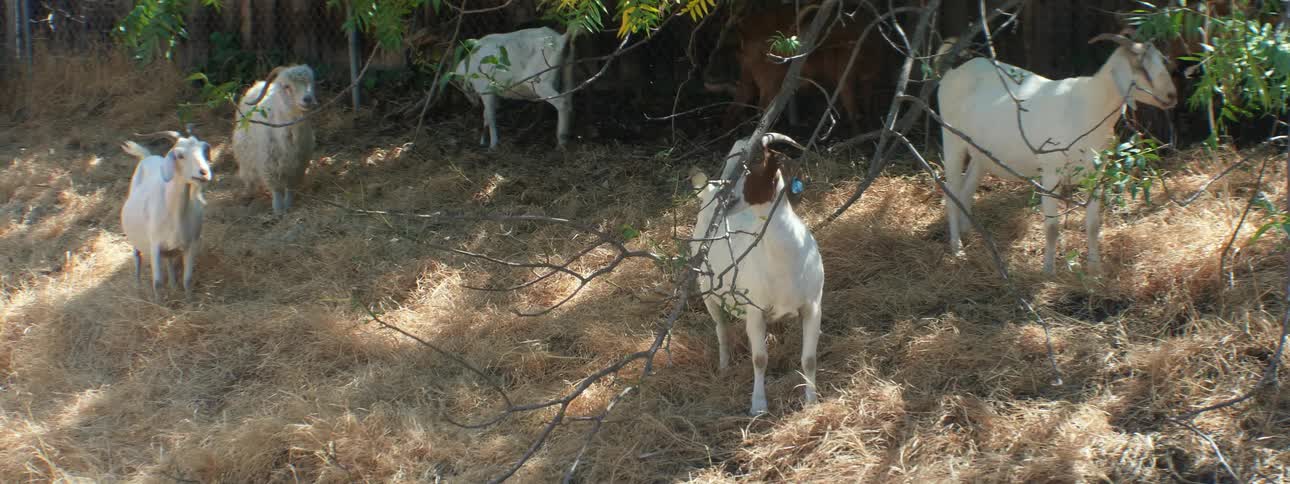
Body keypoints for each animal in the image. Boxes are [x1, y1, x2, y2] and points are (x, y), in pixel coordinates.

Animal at [119, 130, 213, 302]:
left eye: (204, 151)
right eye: (180, 155)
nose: (204, 172)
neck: (175, 212)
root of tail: (148, 157)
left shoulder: (191, 244)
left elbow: (187, 279)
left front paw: (189, 302)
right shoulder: (154, 245)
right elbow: (157, 282)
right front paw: (159, 303)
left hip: (171, 247)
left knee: (169, 261)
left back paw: (173, 286)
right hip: (137, 240)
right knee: (137, 256)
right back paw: (137, 286)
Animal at [232, 64, 319, 216]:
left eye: (311, 83)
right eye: (286, 86)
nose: (308, 99)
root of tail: (258, 84)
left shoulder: (298, 164)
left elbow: (290, 187)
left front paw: (289, 205)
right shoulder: (268, 163)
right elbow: (277, 189)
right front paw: (278, 210)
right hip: (244, 149)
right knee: (248, 172)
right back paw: (249, 193)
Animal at [690, 133, 825, 415]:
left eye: (755, 162)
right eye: (730, 162)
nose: (724, 197)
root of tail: (707, 192)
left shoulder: (813, 306)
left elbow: (809, 359)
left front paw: (812, 401)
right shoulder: (755, 312)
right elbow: (760, 359)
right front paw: (758, 405)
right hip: (706, 289)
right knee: (721, 328)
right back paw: (724, 366)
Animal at [704, 4, 892, 133]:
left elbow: (862, 103)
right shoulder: (845, 72)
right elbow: (852, 106)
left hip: (750, 76)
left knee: (735, 107)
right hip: (768, 78)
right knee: (761, 108)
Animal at [938, 33, 1178, 275]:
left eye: (1161, 60)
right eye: (1141, 66)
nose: (1171, 96)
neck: (1088, 106)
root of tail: (953, 72)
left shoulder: (1095, 174)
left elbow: (1093, 224)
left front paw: (1095, 269)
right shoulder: (1051, 171)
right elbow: (1052, 227)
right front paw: (1048, 271)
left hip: (981, 152)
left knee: (966, 188)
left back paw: (968, 233)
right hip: (951, 137)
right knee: (951, 191)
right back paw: (957, 249)